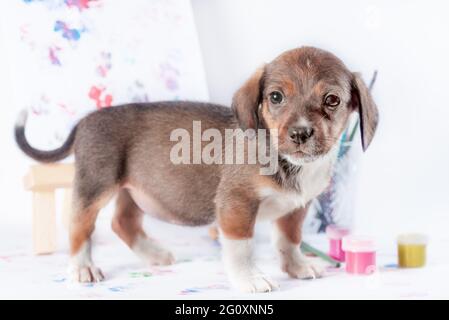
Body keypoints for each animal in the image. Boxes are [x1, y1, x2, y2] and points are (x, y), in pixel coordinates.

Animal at [14, 46, 378, 294]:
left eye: (332, 100)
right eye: (275, 97)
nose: (301, 134)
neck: (290, 165)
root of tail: (85, 121)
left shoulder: (295, 208)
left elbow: (289, 240)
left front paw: (297, 266)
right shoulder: (236, 205)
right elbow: (241, 249)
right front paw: (250, 279)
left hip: (131, 190)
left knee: (123, 222)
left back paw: (155, 254)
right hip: (95, 186)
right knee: (79, 226)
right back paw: (82, 268)